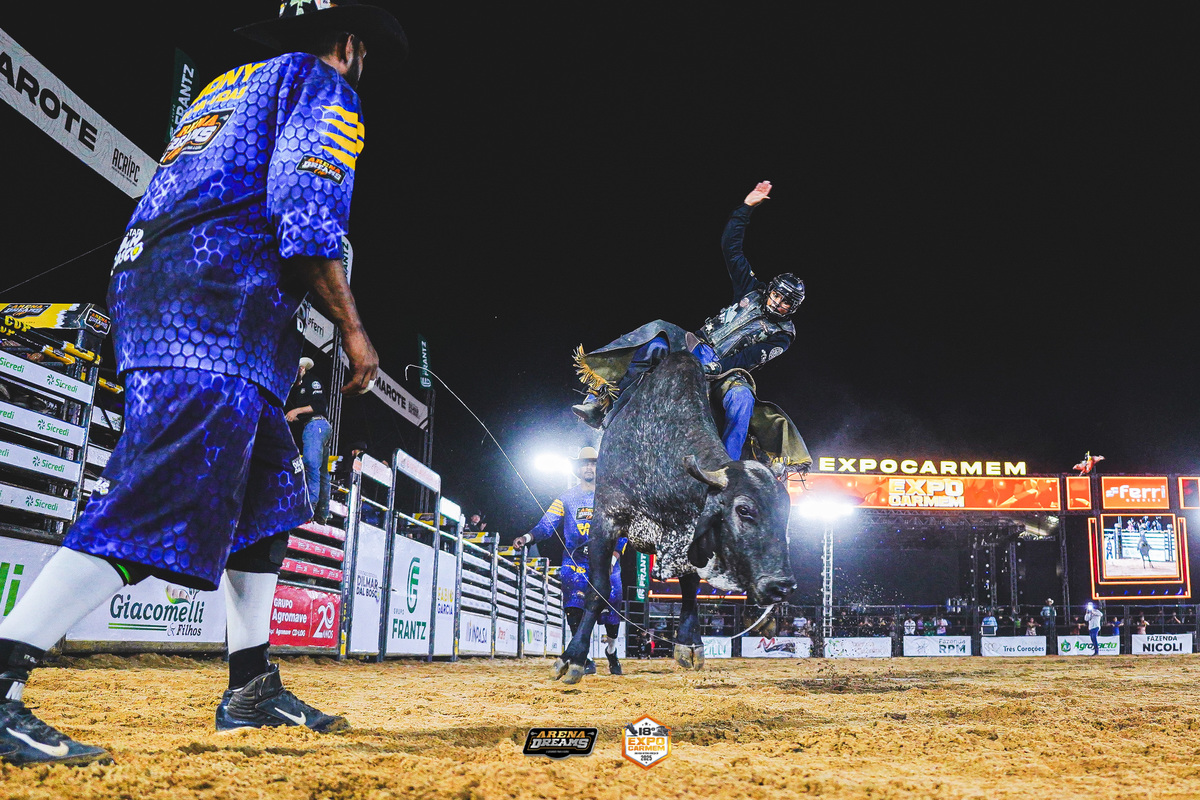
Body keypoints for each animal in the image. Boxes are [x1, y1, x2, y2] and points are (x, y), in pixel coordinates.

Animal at [551, 350, 796, 685]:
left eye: (786, 515)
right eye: (744, 510)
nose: (781, 586)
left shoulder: (688, 535)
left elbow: (690, 586)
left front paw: (689, 644)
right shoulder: (605, 520)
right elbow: (597, 588)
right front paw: (572, 658)